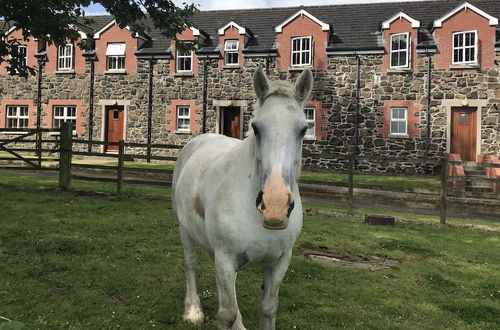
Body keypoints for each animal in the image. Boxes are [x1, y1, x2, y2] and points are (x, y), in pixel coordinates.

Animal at [173, 67, 312, 330]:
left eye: (302, 129)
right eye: (256, 127)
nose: (275, 206)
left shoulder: (279, 262)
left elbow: (268, 309)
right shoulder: (225, 258)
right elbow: (226, 313)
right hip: (185, 231)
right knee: (190, 263)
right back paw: (193, 310)